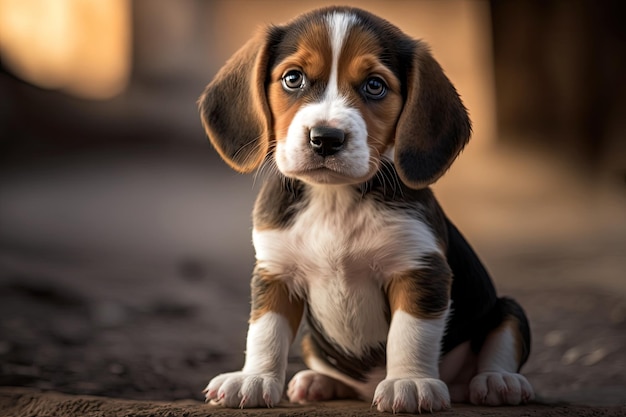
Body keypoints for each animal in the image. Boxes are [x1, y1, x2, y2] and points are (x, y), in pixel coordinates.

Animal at [199, 6, 532, 412]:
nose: (325, 138)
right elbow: (265, 331)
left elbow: (410, 335)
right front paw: (254, 378)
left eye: (375, 85)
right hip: (313, 341)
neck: (334, 199)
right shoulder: (275, 273)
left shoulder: (420, 270)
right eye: (293, 78)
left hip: (507, 308)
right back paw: (318, 382)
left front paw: (409, 382)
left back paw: (497, 382)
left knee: (501, 342)